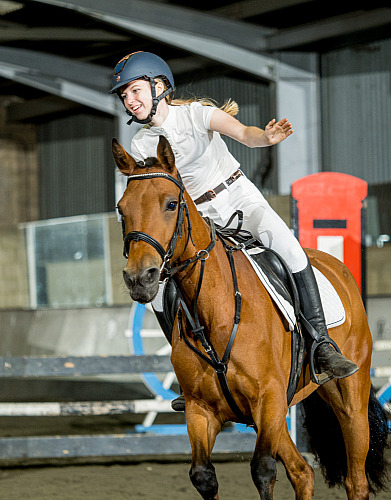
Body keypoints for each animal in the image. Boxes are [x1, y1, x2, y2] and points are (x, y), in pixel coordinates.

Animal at [112, 135, 388, 498]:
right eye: (121, 209)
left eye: (171, 204)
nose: (139, 279)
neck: (217, 315)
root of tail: (336, 267)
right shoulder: (201, 410)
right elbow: (203, 475)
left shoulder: (267, 401)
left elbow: (263, 471)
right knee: (303, 473)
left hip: (349, 400)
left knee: (355, 480)